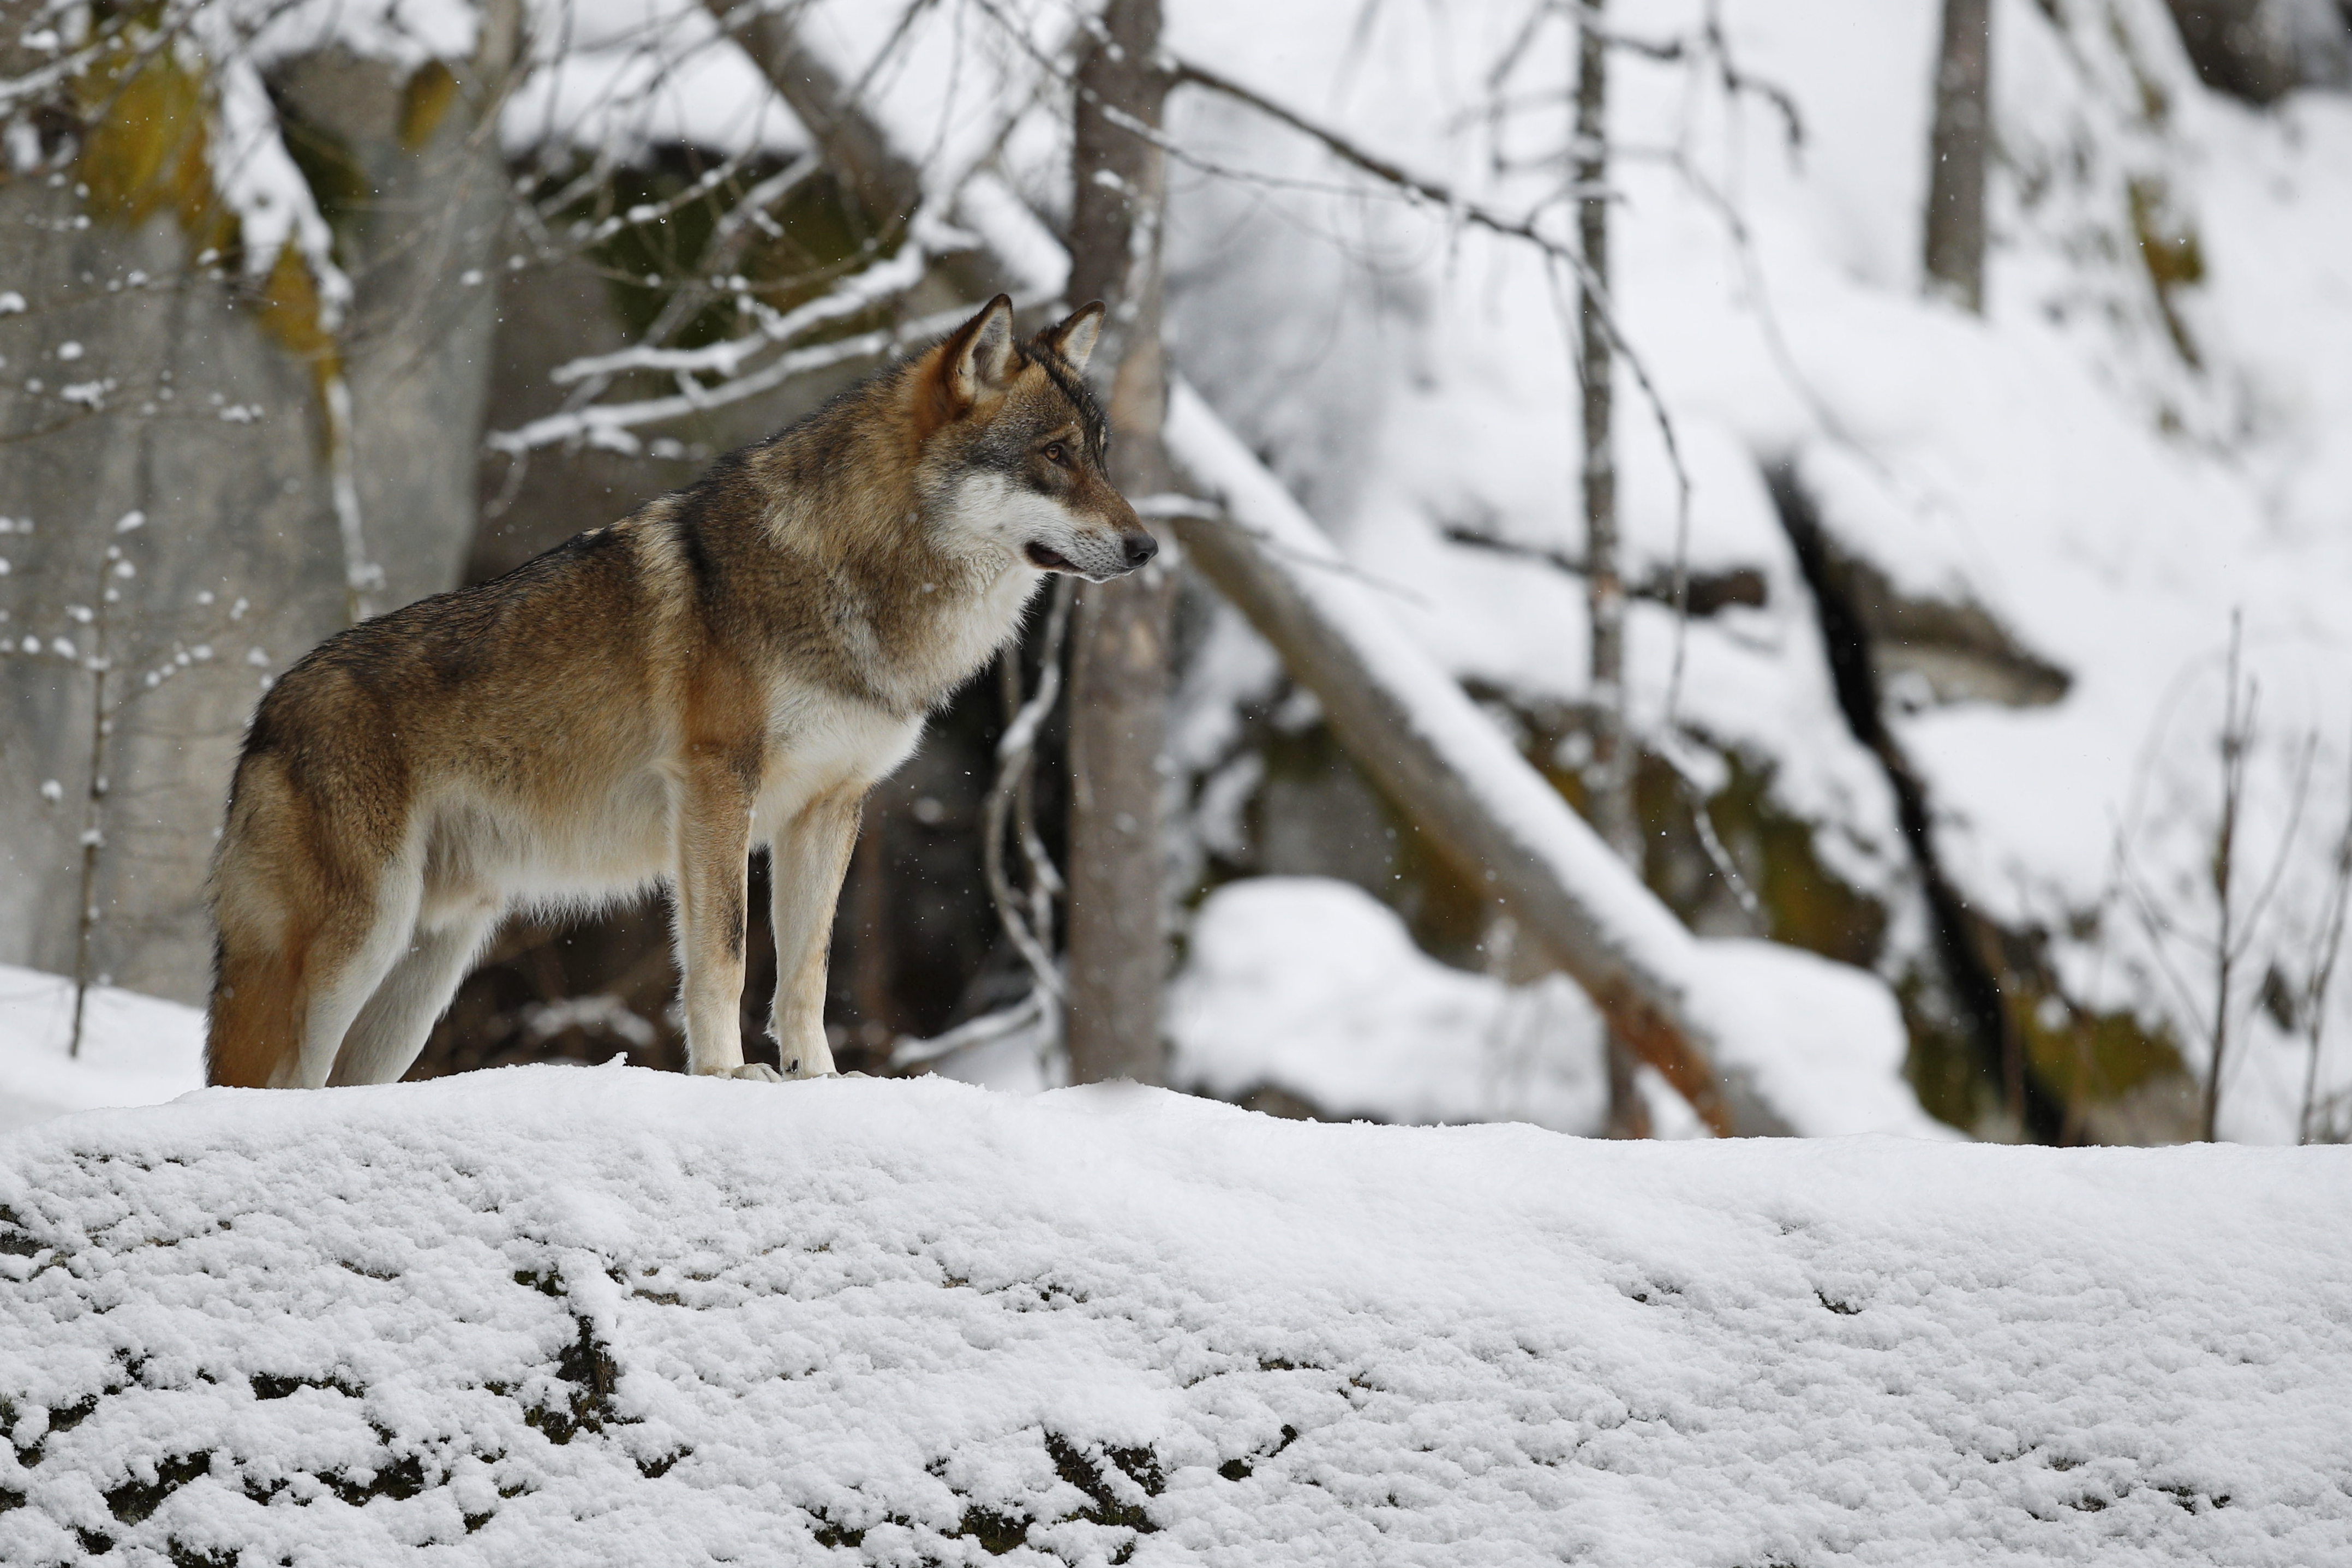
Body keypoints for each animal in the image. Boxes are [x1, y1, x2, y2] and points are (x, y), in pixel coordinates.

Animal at [207, 303, 1152, 1091]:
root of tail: (263, 714)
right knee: (263, 1082)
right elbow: (724, 953)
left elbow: (805, 969)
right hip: (353, 948)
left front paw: (820, 1079)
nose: (1146, 547)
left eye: (1102, 455)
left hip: (421, 975)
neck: (857, 578)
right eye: (1054, 454)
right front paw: (729, 1075)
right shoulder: (716, 784)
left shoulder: (830, 807)